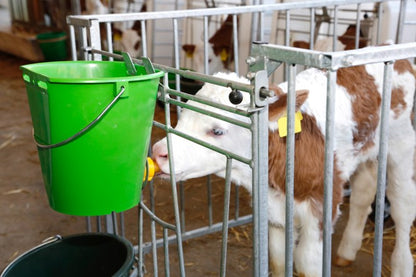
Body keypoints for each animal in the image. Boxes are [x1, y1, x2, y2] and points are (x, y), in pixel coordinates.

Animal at [152, 58, 416, 274]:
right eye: (184, 115)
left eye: (217, 130)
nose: (158, 152)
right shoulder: (274, 210)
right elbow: (279, 257)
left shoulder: (322, 204)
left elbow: (307, 260)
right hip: (366, 153)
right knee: (363, 193)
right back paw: (347, 251)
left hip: (401, 145)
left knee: (402, 206)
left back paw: (402, 266)